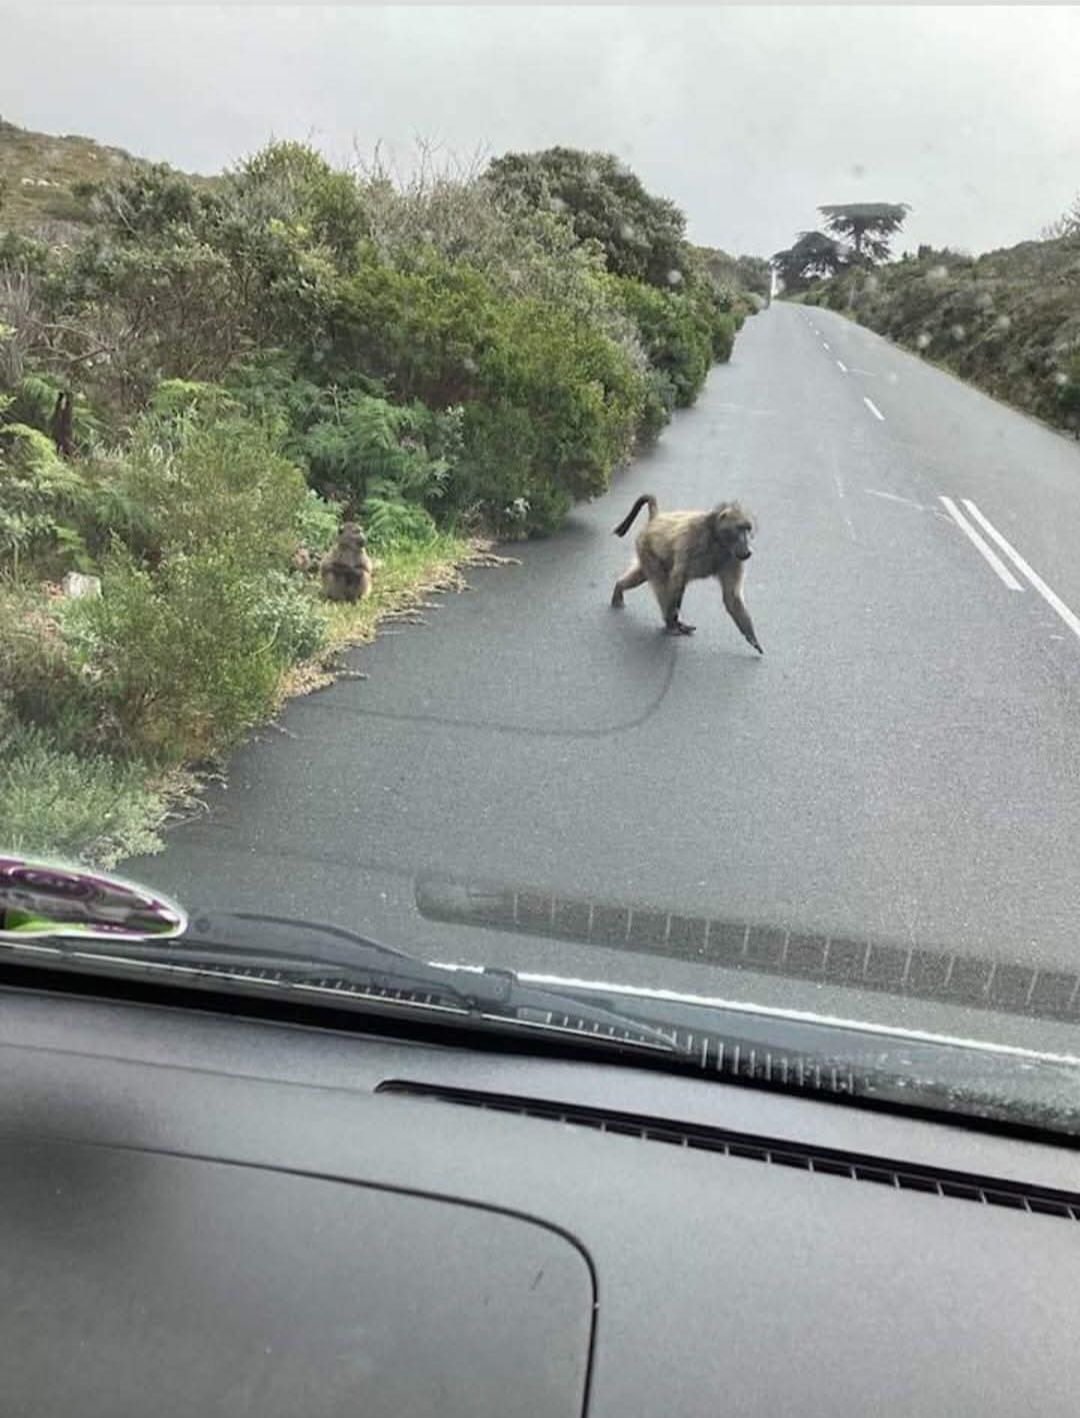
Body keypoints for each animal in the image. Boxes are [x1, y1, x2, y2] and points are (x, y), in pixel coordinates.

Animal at [610, 493, 763, 652]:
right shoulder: (693, 540)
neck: (717, 539)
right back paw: (670, 624)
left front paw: (752, 638)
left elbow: (731, 596)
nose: (748, 550)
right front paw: (672, 623)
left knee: (642, 575)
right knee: (662, 583)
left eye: (748, 529)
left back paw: (619, 588)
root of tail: (655, 519)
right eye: (740, 529)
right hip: (646, 547)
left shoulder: (733, 559)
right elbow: (677, 579)